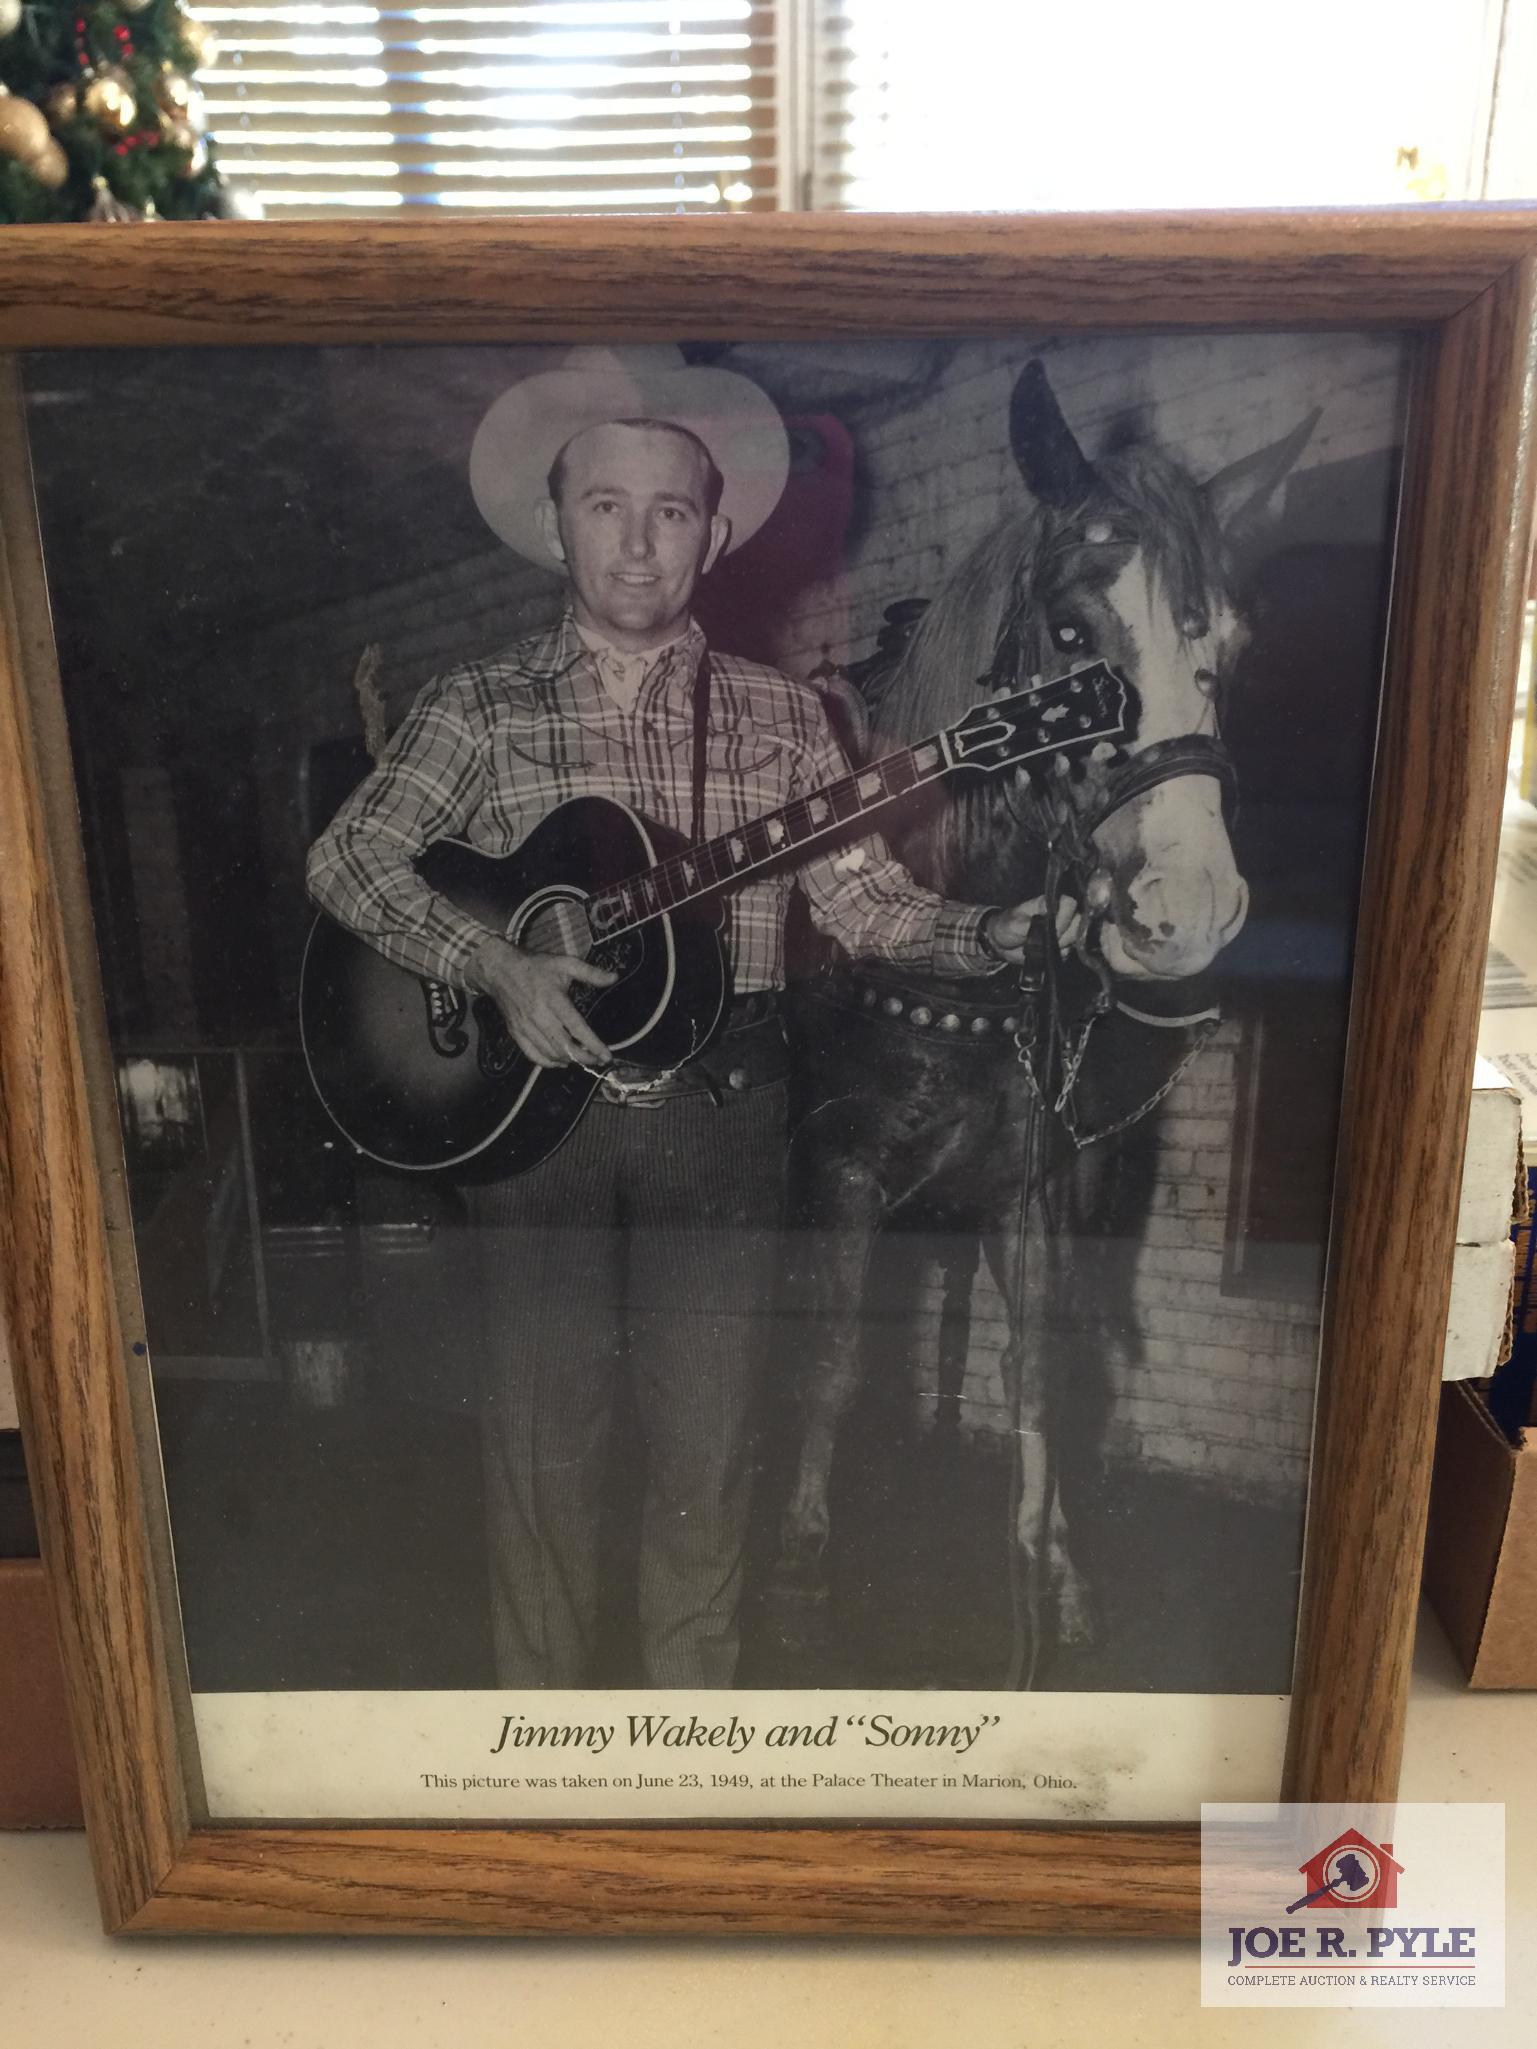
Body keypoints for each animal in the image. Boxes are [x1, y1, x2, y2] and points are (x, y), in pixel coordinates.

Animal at [774, 360, 1319, 1688]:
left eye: (1229, 642)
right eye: (1070, 635)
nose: (1187, 907)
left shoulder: (1037, 1182)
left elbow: (1037, 1377)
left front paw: (1051, 1580)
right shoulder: (838, 1166)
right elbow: (827, 1362)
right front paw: (802, 1587)